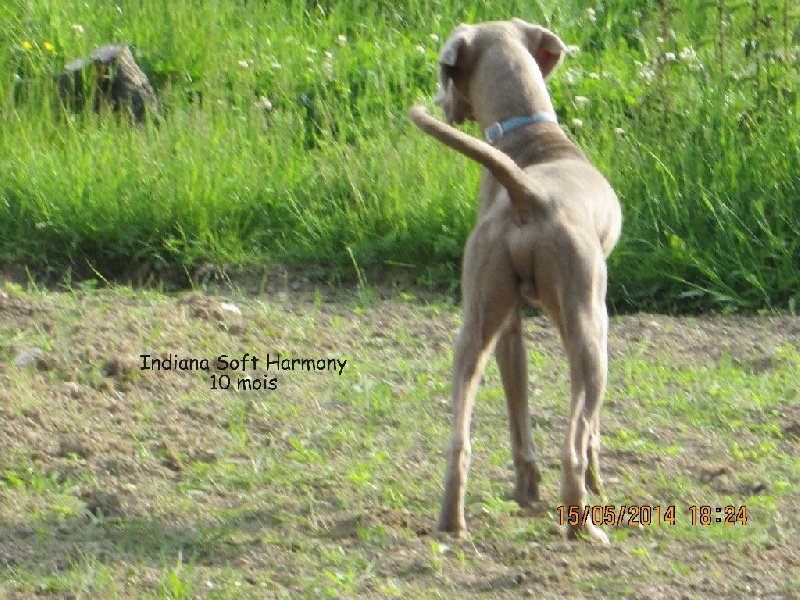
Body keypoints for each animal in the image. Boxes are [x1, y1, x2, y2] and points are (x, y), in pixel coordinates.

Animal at [410, 18, 622, 543]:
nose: (440, 99)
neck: (529, 140)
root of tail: (530, 195)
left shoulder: (509, 328)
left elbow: (519, 409)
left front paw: (527, 491)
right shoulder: (584, 316)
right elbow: (591, 434)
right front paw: (597, 483)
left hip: (475, 324)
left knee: (459, 440)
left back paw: (452, 522)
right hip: (590, 333)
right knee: (574, 440)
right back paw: (584, 525)